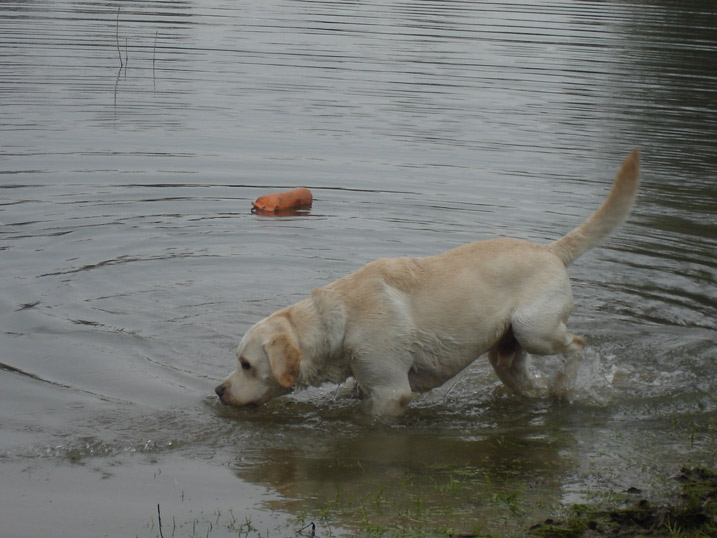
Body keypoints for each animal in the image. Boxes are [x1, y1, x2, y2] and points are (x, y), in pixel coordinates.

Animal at [215, 151, 640, 414]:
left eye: (246, 364)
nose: (218, 391)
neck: (340, 320)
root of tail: (551, 250)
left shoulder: (391, 392)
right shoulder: (364, 381)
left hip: (535, 329)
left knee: (578, 344)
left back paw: (569, 382)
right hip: (506, 354)